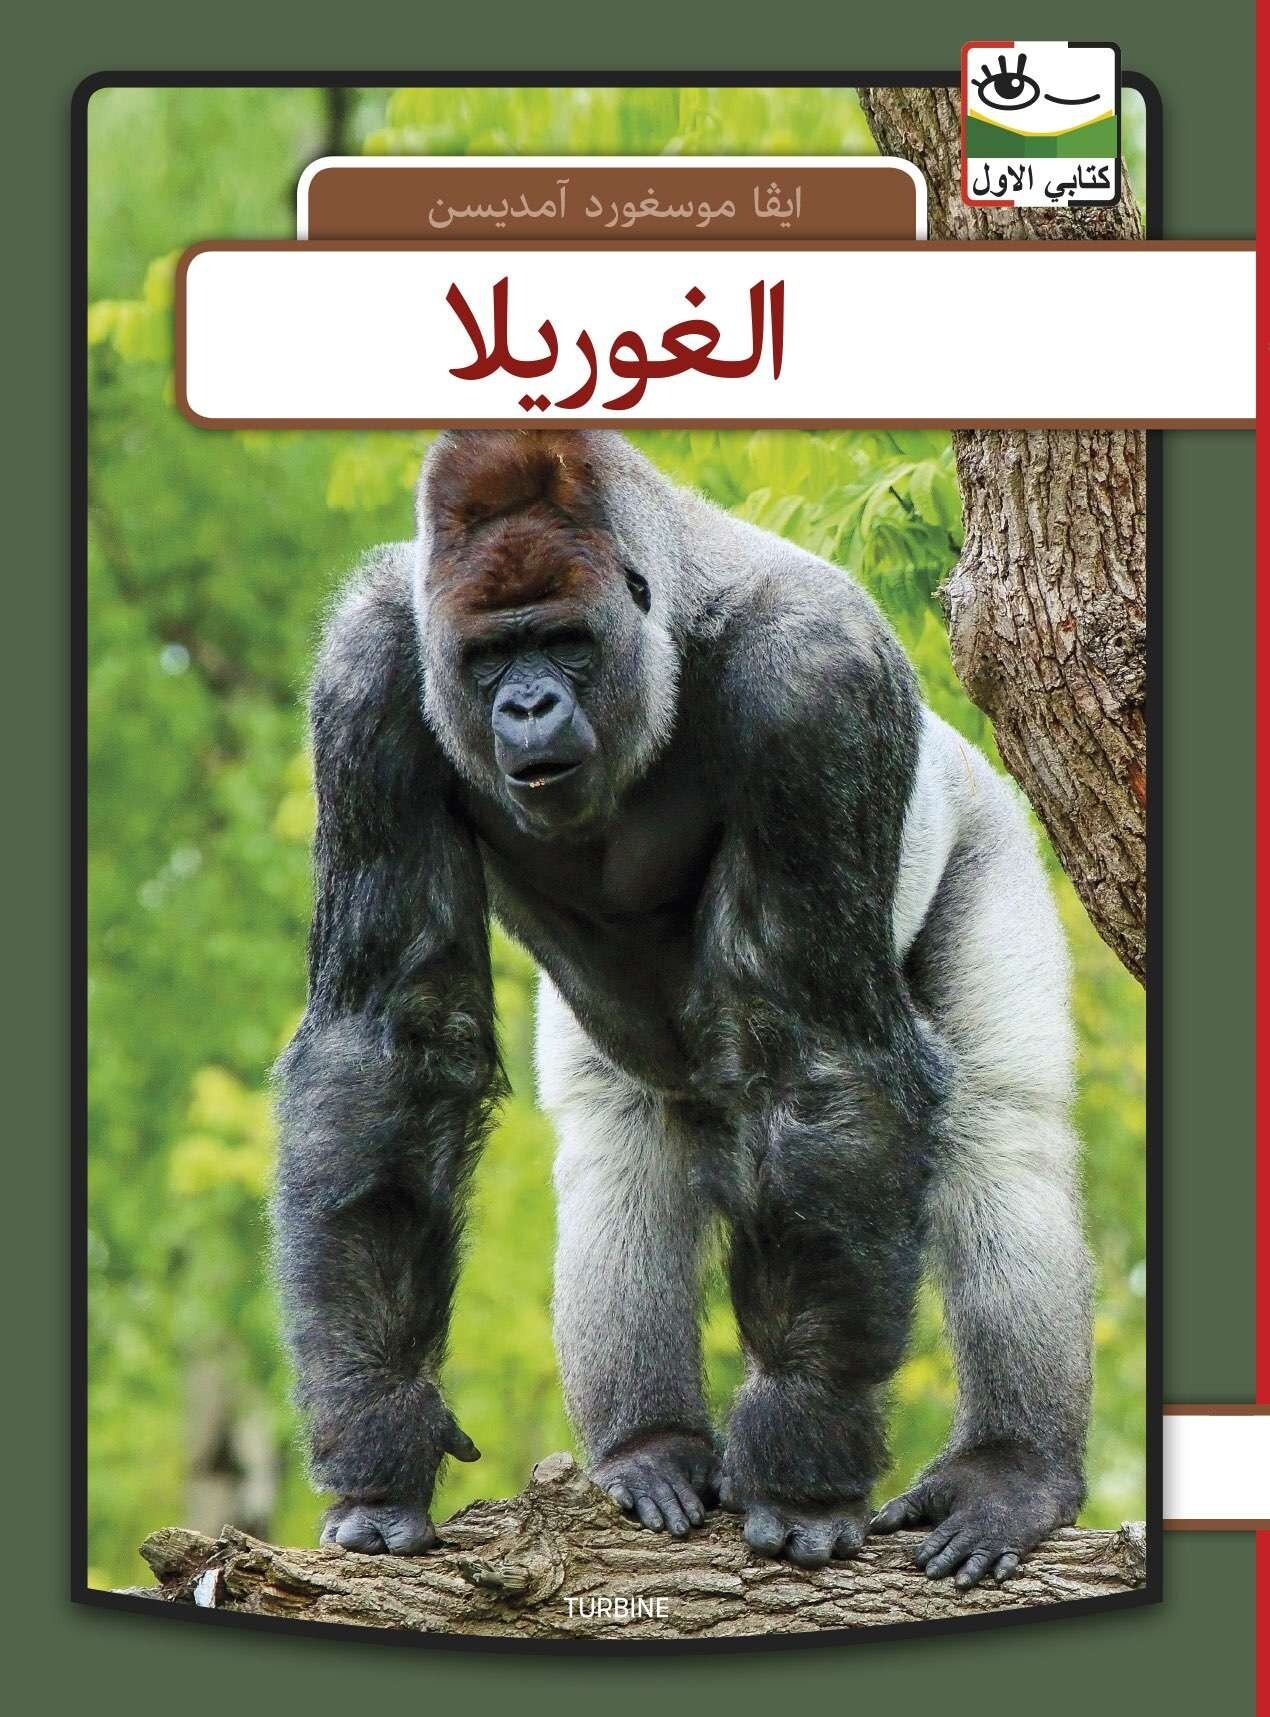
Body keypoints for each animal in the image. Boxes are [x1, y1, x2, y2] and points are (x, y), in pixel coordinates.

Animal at [272, 428, 1092, 1588]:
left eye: (564, 644)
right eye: (488, 660)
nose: (526, 707)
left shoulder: (817, 678)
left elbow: (820, 1060)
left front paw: (801, 1466)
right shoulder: (371, 672)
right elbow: (388, 1044)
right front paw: (382, 1439)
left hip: (981, 819)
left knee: (1002, 1131)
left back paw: (1010, 1468)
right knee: (619, 1147)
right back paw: (646, 1447)